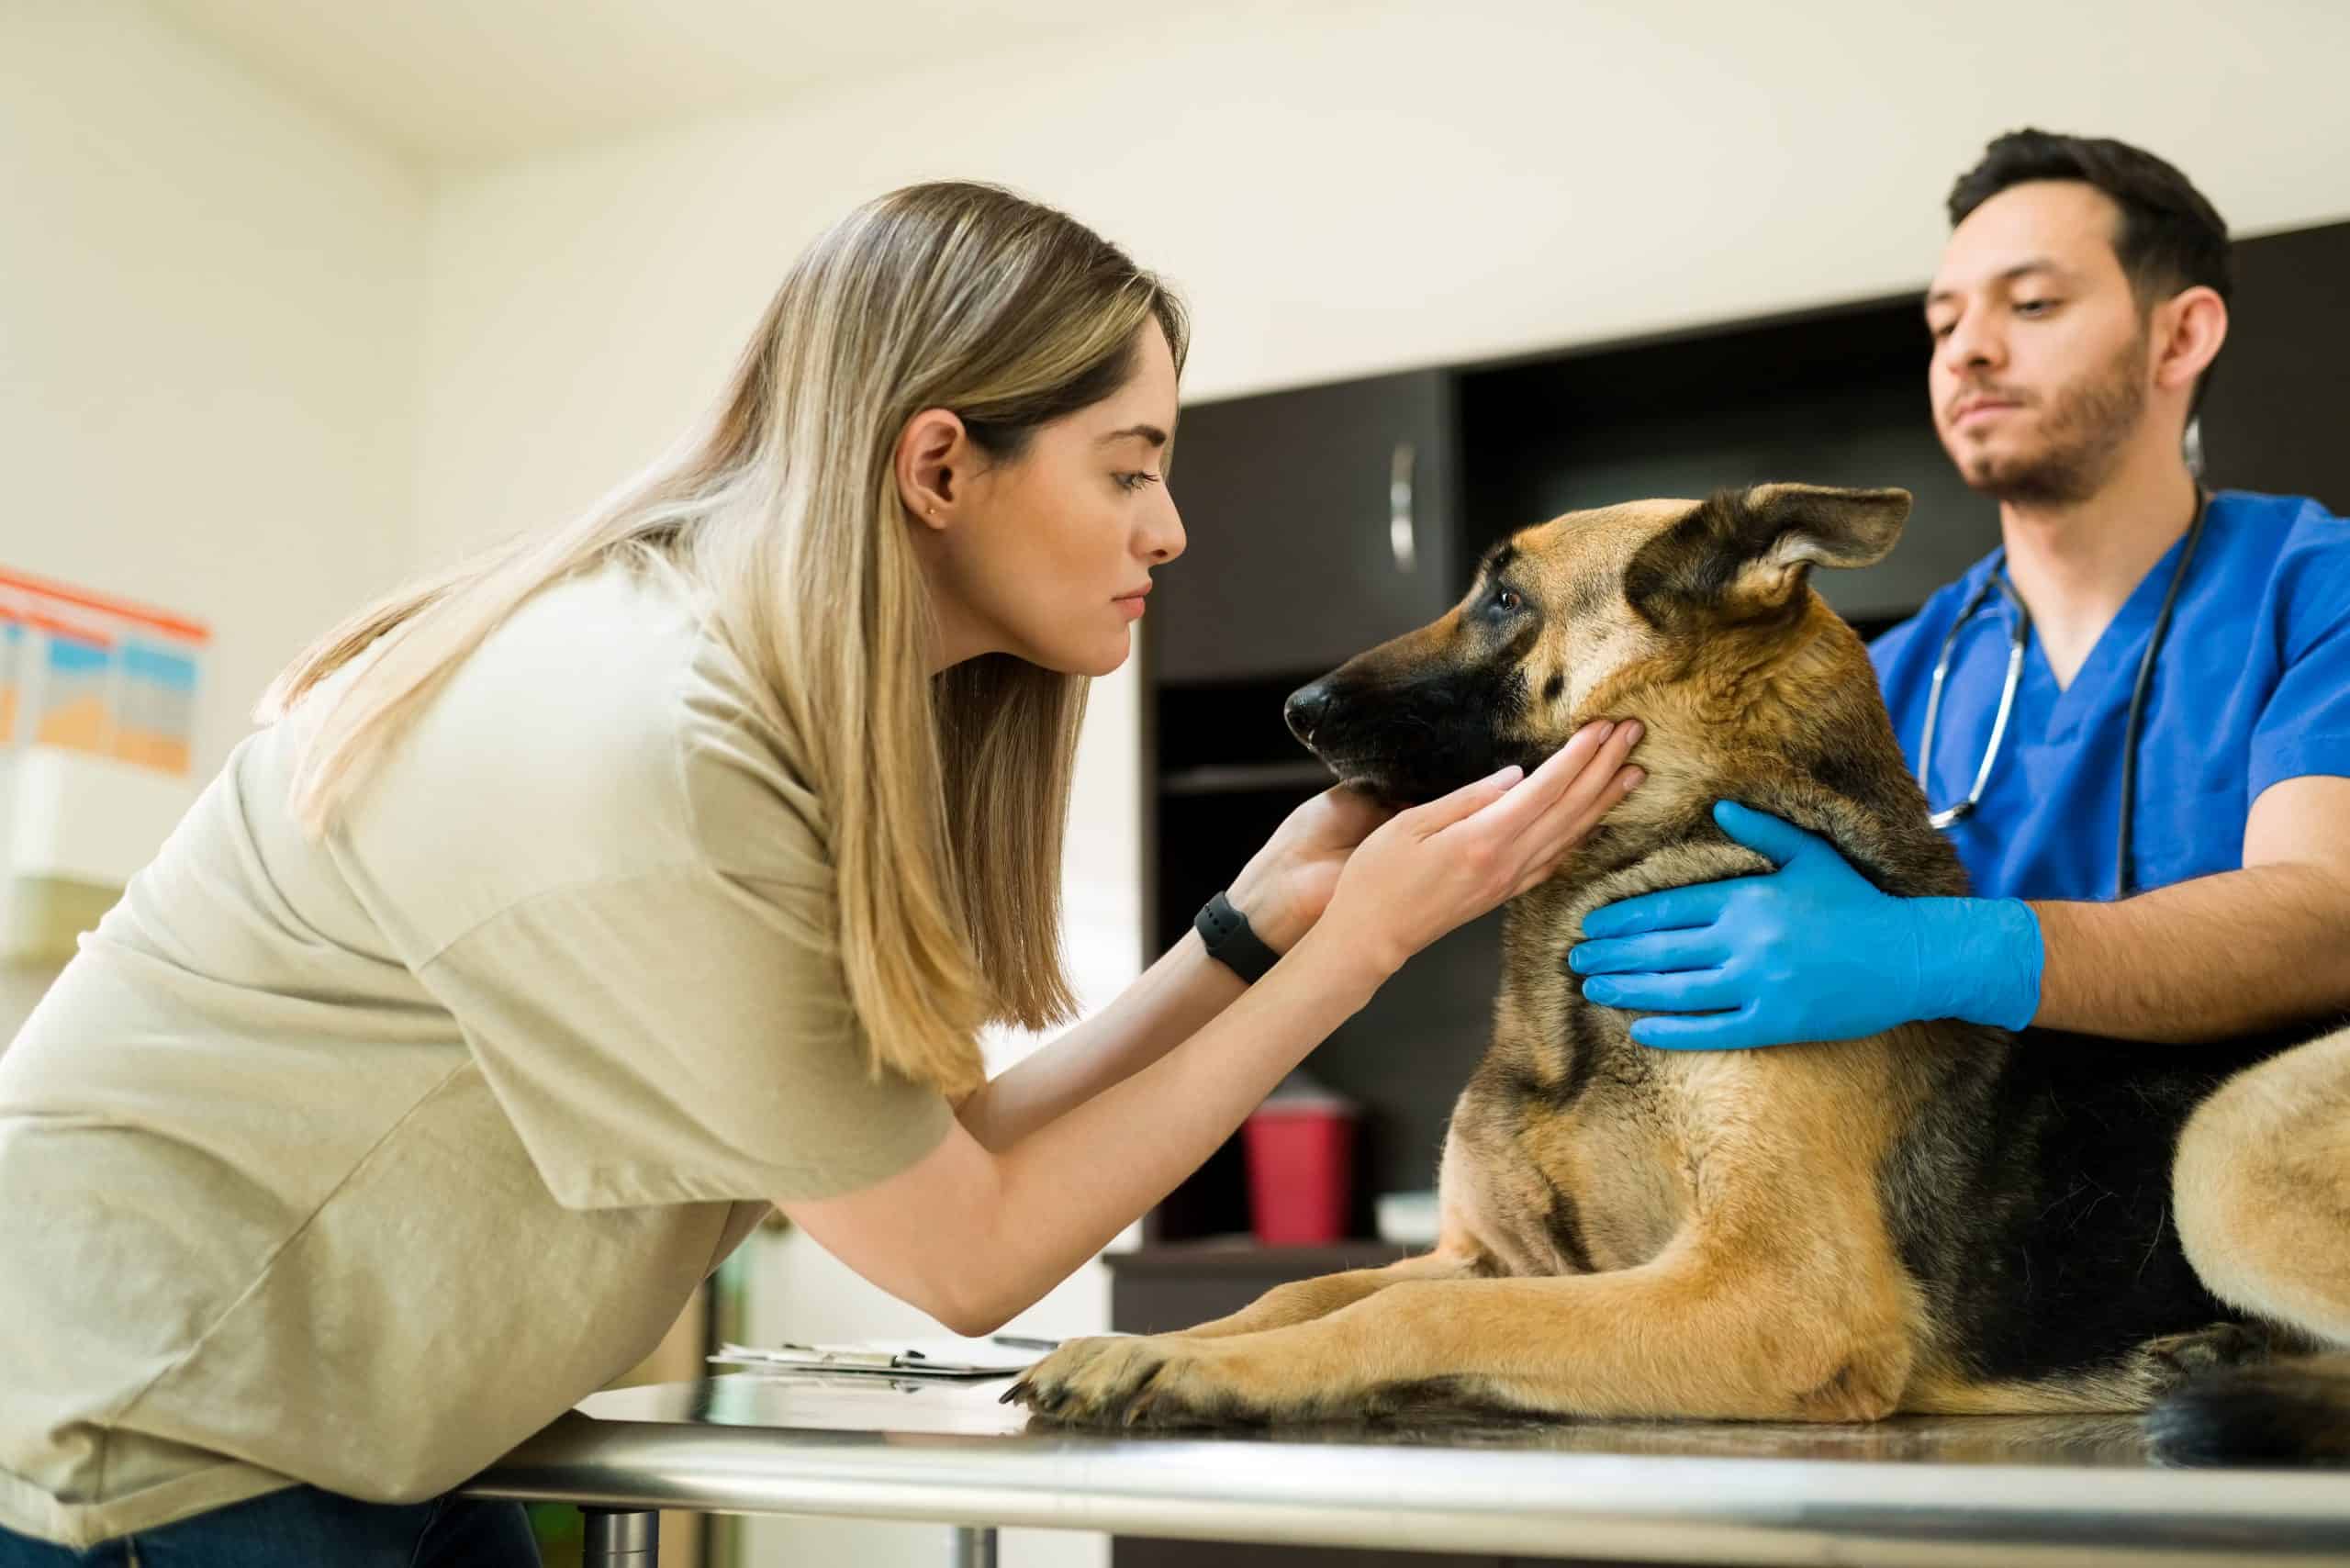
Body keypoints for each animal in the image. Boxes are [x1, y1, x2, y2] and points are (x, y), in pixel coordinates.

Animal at [1014, 481, 2350, 1457]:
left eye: (1505, 596)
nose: (1295, 708)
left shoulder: (1773, 1292)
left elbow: (1417, 1306)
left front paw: (1195, 1363)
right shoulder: (1494, 1253)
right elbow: (1310, 1293)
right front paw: (1179, 1339)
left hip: (2219, 1147)